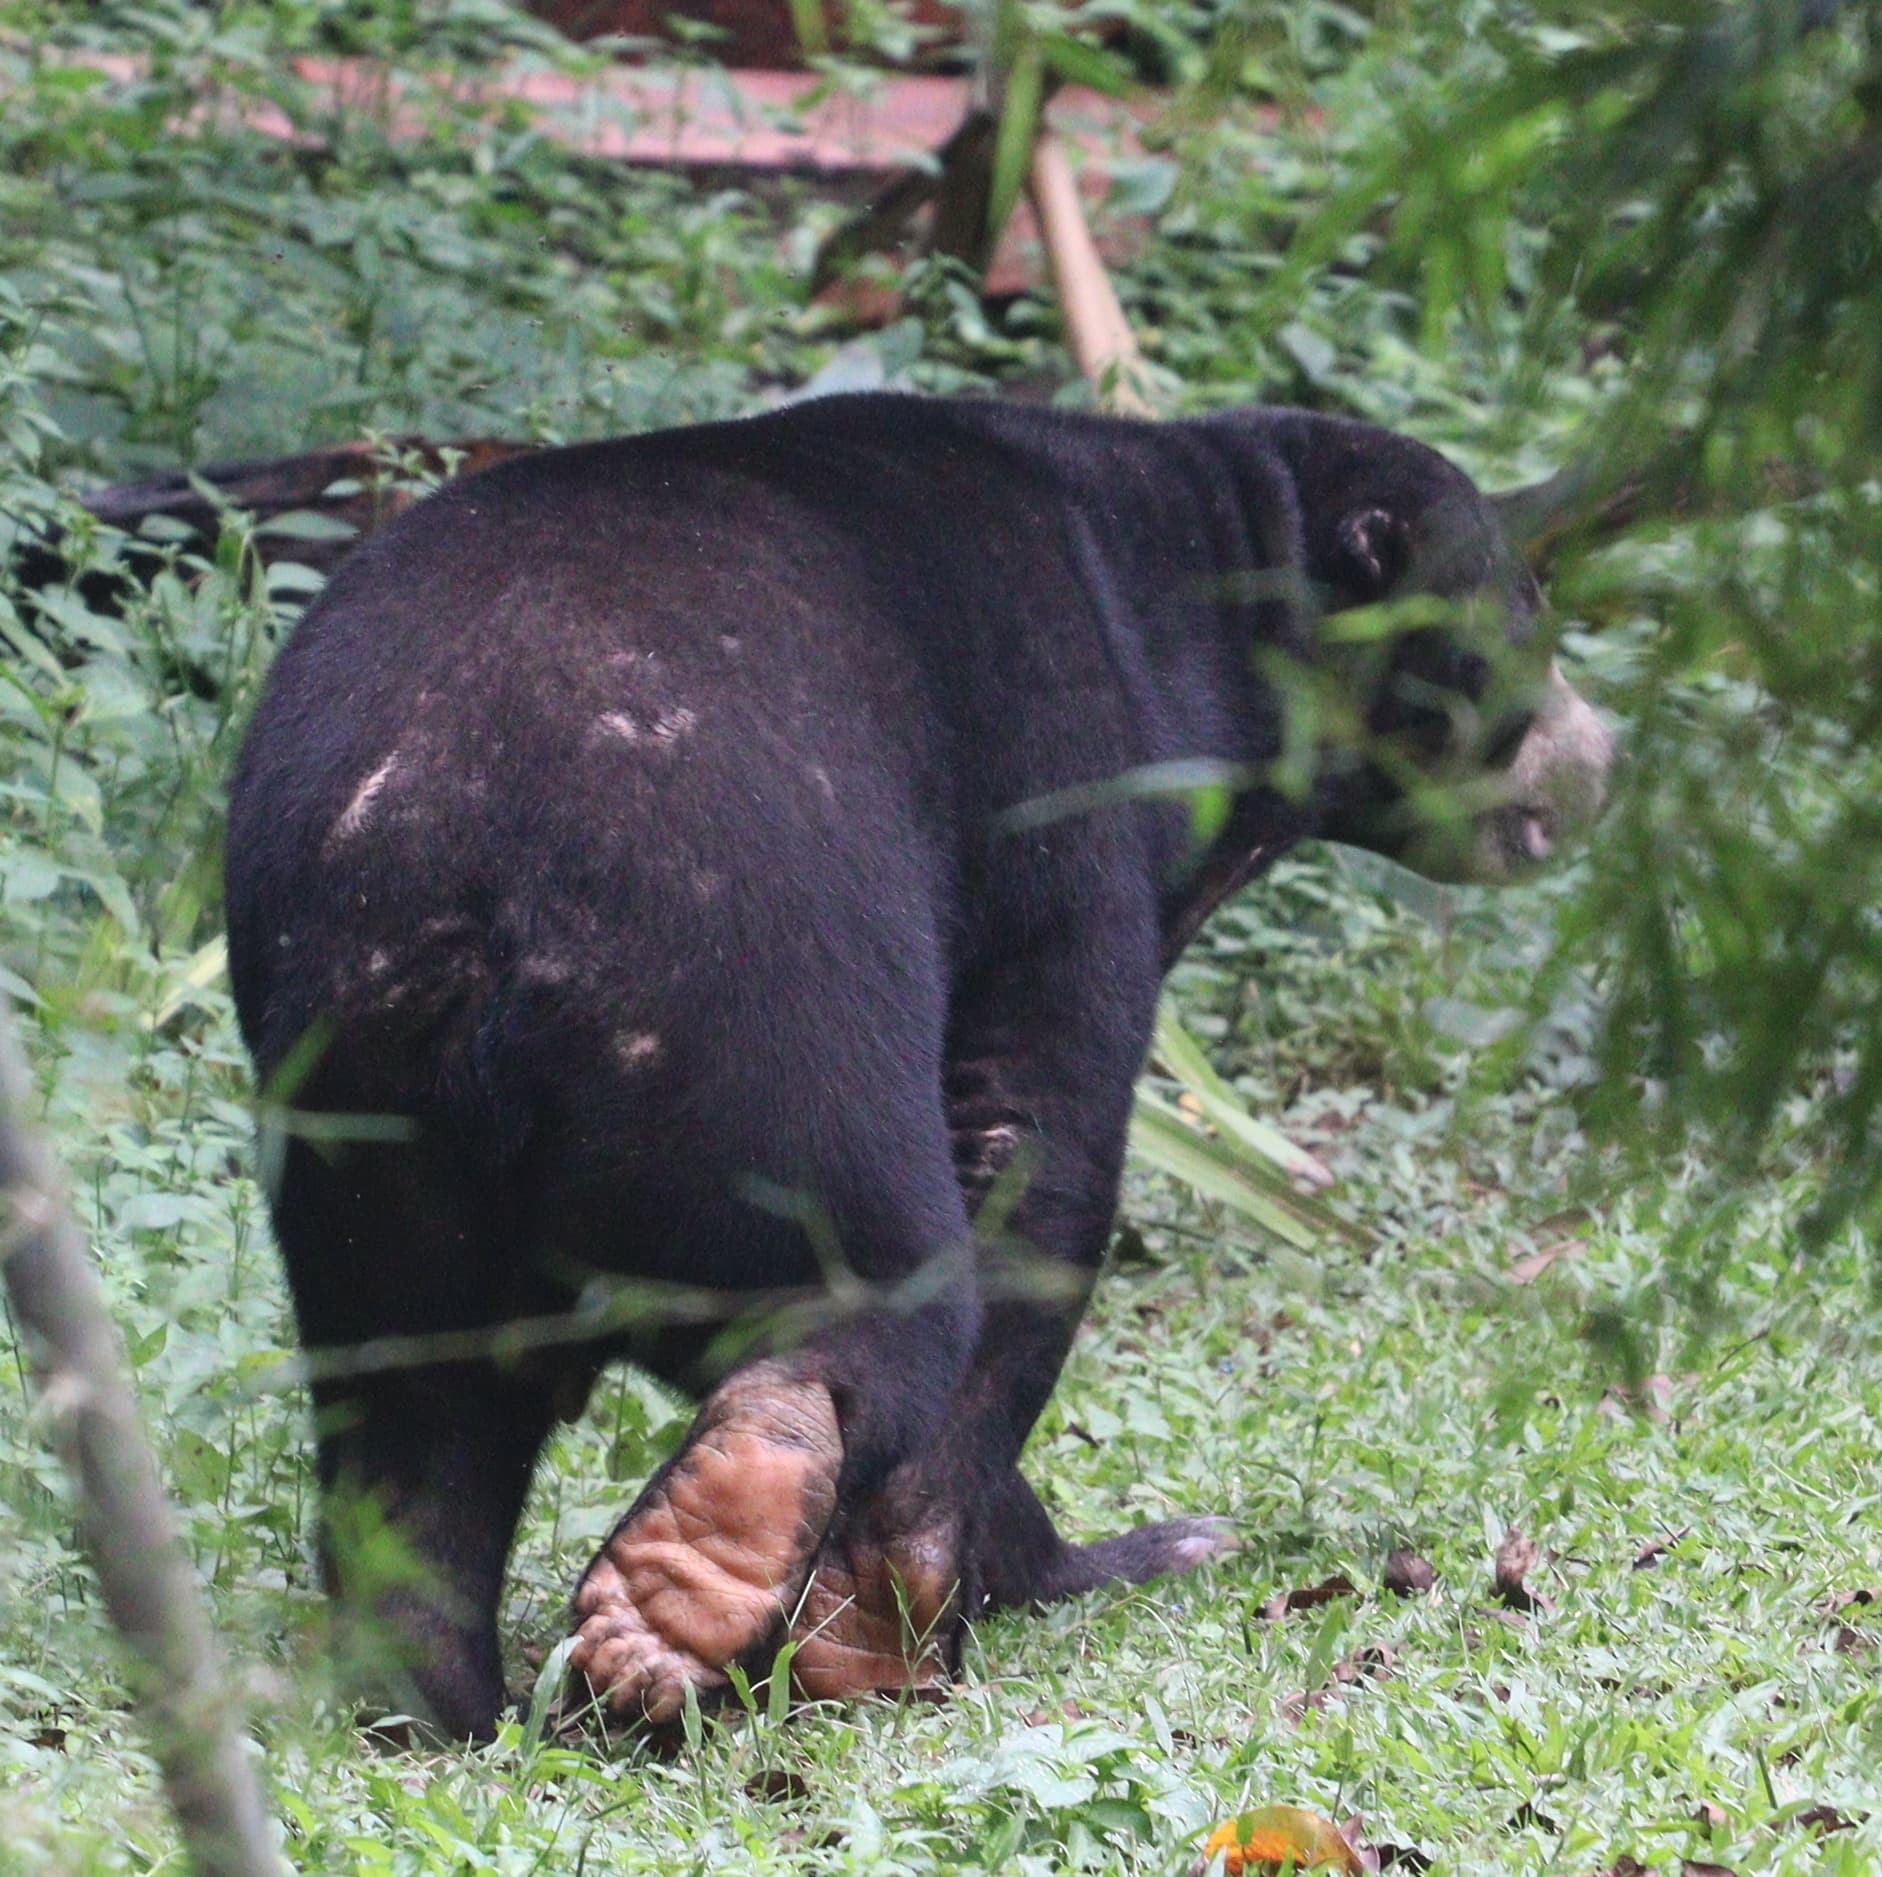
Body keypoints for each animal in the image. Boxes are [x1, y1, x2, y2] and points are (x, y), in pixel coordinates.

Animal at [223, 393, 1612, 1739]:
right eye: (1528, 618)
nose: (1604, 758)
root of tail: (460, 875)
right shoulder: (1061, 823)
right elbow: (1034, 1150)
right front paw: (959, 1592)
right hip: (745, 1004)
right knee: (868, 1273)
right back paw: (709, 1578)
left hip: (361, 1112)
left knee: (414, 1420)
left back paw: (441, 1690)